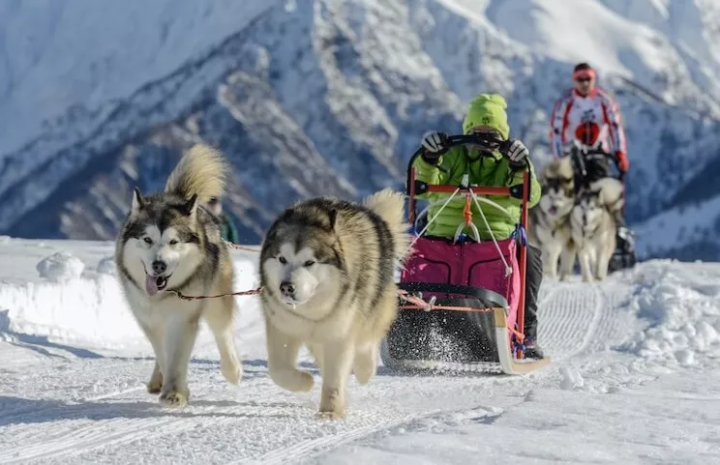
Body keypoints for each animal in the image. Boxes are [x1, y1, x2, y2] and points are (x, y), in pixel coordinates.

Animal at [114, 144, 242, 406]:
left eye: (174, 242)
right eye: (147, 239)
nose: (159, 265)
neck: (161, 296)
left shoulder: (183, 318)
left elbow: (176, 356)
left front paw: (175, 392)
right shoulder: (149, 319)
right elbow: (163, 354)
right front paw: (173, 387)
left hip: (216, 298)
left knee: (222, 331)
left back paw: (232, 370)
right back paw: (156, 381)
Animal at [260, 188, 414, 416]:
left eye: (309, 262)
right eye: (282, 259)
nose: (286, 287)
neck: (311, 311)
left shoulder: (339, 334)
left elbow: (336, 376)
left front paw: (330, 412)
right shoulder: (283, 326)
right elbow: (278, 370)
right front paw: (305, 382)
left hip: (370, 310)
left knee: (367, 342)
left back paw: (365, 369)